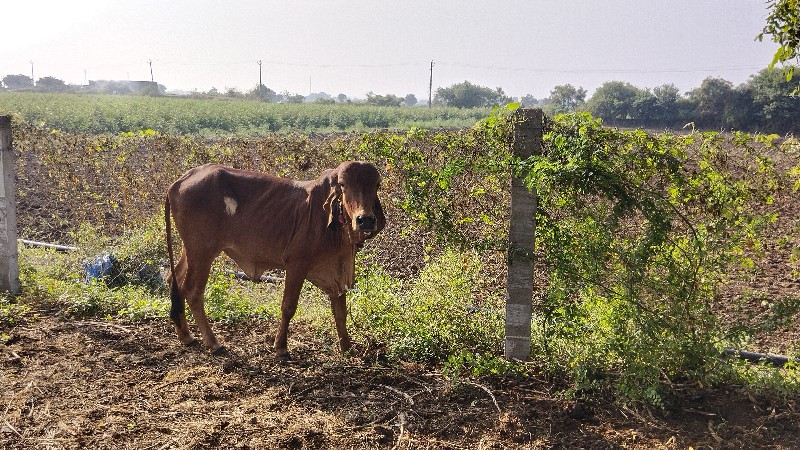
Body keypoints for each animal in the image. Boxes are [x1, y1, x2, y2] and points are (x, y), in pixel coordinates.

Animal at [163, 160, 384, 360]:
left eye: (376, 185)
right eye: (344, 184)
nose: (365, 219)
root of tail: (180, 180)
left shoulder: (337, 271)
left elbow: (340, 312)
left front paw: (347, 347)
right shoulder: (296, 264)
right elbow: (288, 307)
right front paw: (281, 348)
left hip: (190, 250)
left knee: (175, 280)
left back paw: (186, 336)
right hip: (202, 252)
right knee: (192, 292)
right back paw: (213, 343)